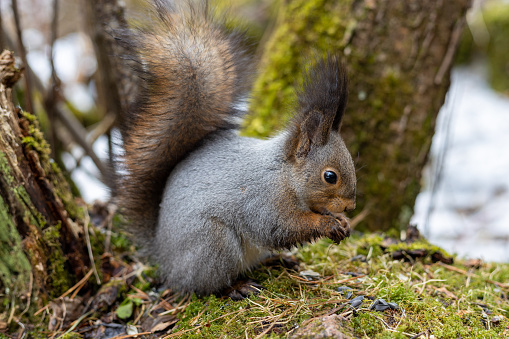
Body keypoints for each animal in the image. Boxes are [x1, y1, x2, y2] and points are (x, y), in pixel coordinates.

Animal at [117, 0, 356, 298]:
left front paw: (341, 221)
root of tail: (165, 259)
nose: (350, 205)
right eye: (330, 176)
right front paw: (326, 224)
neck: (284, 175)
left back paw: (279, 261)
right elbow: (279, 228)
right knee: (205, 286)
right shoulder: (262, 201)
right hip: (214, 244)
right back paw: (237, 287)